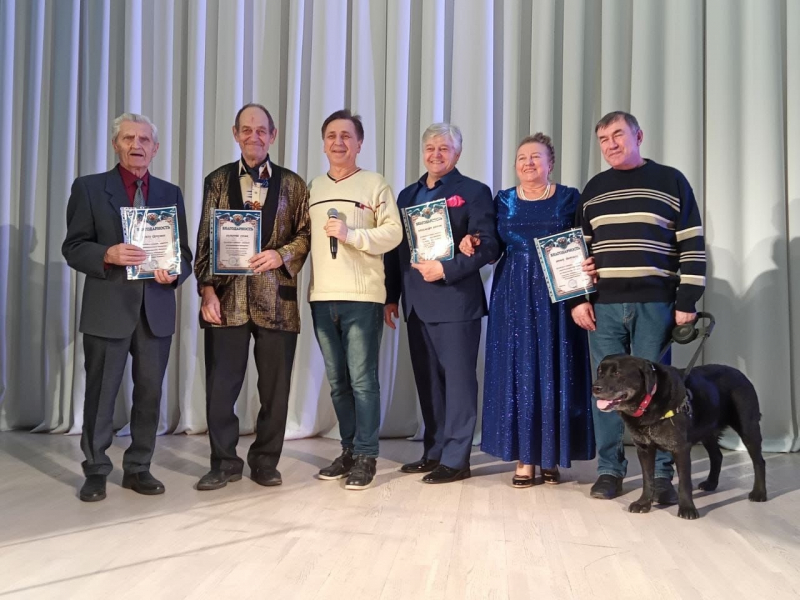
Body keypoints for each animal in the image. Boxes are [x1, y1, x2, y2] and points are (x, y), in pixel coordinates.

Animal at [593, 355, 767, 519]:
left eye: (617, 373)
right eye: (600, 372)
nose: (595, 387)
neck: (649, 402)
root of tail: (740, 373)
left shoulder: (681, 449)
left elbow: (684, 482)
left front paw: (687, 509)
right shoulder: (644, 448)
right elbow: (647, 479)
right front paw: (643, 503)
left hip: (748, 429)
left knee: (759, 461)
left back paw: (759, 493)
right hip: (707, 431)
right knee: (717, 456)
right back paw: (711, 483)